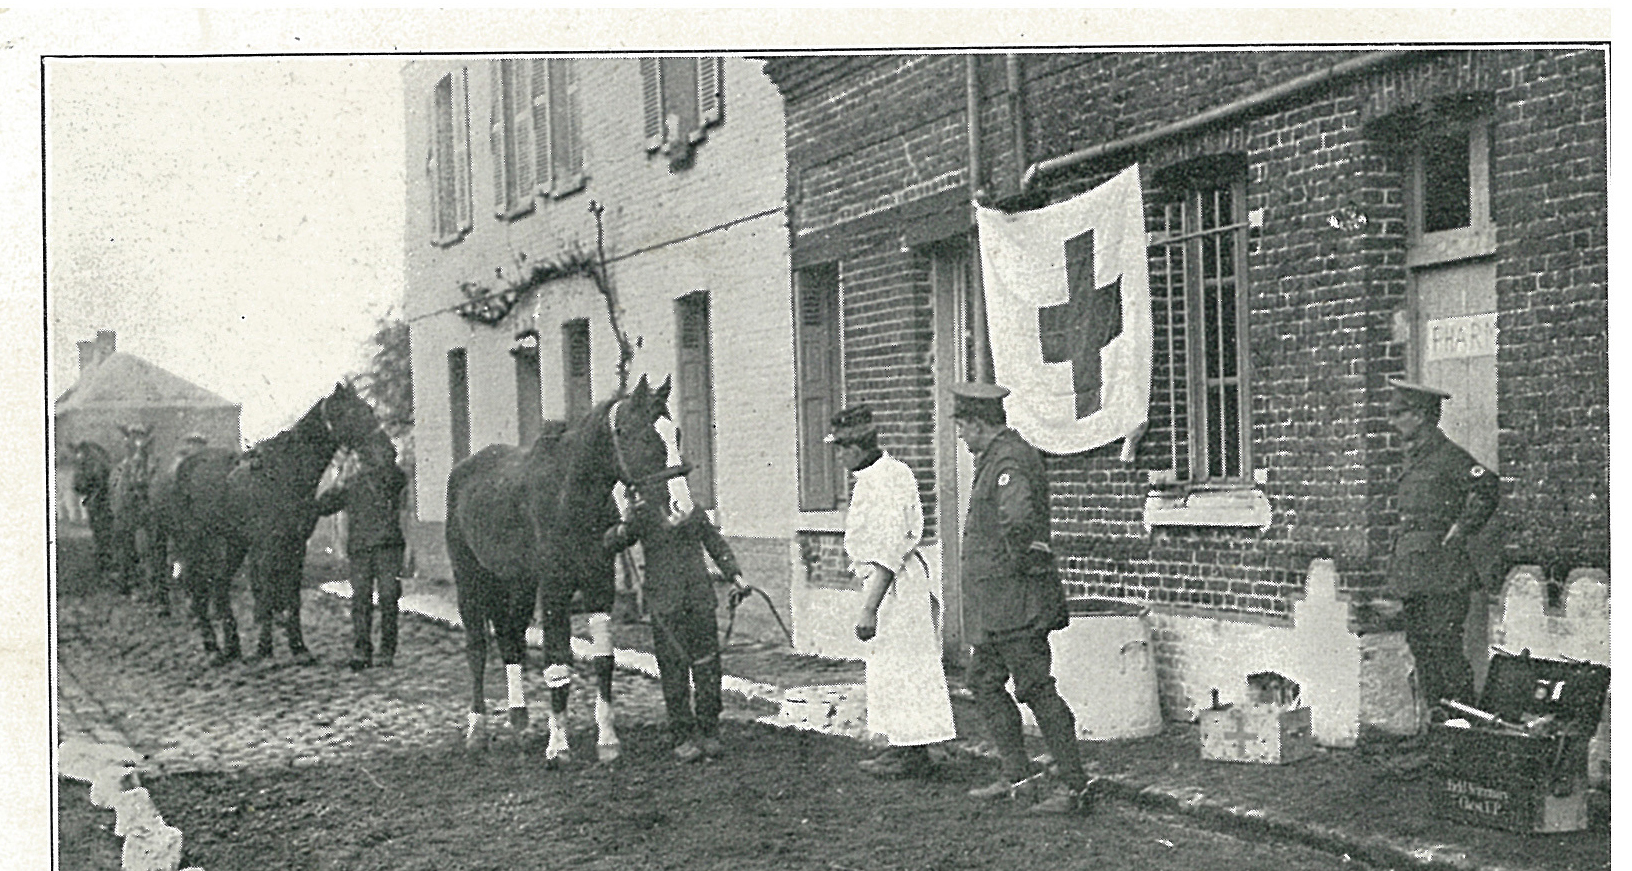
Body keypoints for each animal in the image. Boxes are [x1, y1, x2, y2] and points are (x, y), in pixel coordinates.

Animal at [164, 384, 381, 668]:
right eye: (350, 412)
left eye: (368, 409)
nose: (380, 449)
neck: (285, 474)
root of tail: (184, 466)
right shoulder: (267, 546)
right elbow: (266, 595)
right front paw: (265, 650)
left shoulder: (296, 545)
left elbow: (292, 598)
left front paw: (300, 649)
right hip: (194, 541)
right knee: (197, 588)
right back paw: (213, 650)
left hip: (234, 543)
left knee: (220, 585)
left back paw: (232, 648)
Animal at [447, 375, 695, 763]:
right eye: (644, 437)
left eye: (677, 434)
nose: (681, 507)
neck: (570, 495)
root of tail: (463, 469)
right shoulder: (554, 589)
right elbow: (557, 663)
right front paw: (558, 746)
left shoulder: (599, 584)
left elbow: (604, 660)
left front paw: (607, 741)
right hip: (470, 581)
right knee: (477, 648)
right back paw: (477, 731)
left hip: (517, 583)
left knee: (510, 639)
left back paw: (520, 722)